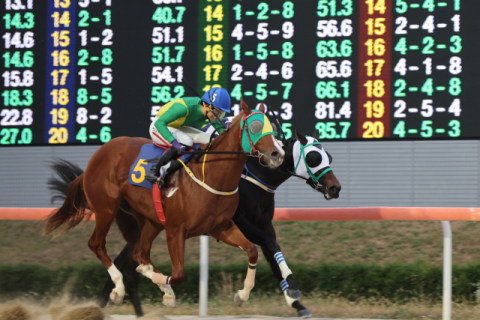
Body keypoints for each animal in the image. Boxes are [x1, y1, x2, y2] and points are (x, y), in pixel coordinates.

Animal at [43, 100, 284, 304]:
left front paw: (242, 294)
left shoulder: (220, 226)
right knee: (96, 244)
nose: (277, 154)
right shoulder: (175, 229)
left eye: (273, 127)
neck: (210, 174)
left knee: (139, 252)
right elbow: (178, 275)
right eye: (255, 126)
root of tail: (96, 156)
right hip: (106, 209)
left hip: (149, 219)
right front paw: (154, 280)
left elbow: (252, 250)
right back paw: (119, 288)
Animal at [47, 129, 342, 318]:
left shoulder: (261, 223)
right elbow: (269, 245)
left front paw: (295, 300)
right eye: (314, 157)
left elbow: (272, 253)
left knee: (130, 260)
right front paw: (292, 293)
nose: (335, 188)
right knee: (106, 249)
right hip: (113, 212)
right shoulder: (240, 221)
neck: (252, 176)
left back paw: (113, 301)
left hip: (140, 222)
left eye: (329, 155)